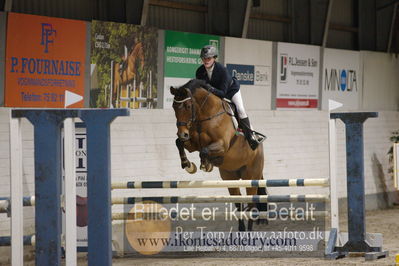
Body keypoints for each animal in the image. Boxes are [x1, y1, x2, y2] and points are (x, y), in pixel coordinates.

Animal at [170, 79, 268, 231]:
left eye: (187, 106)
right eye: (174, 107)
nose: (183, 133)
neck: (204, 115)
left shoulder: (222, 145)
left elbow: (204, 151)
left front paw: (206, 165)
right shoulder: (193, 145)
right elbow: (179, 143)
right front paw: (188, 165)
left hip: (252, 177)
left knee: (251, 204)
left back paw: (249, 231)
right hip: (230, 177)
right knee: (238, 202)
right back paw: (241, 230)